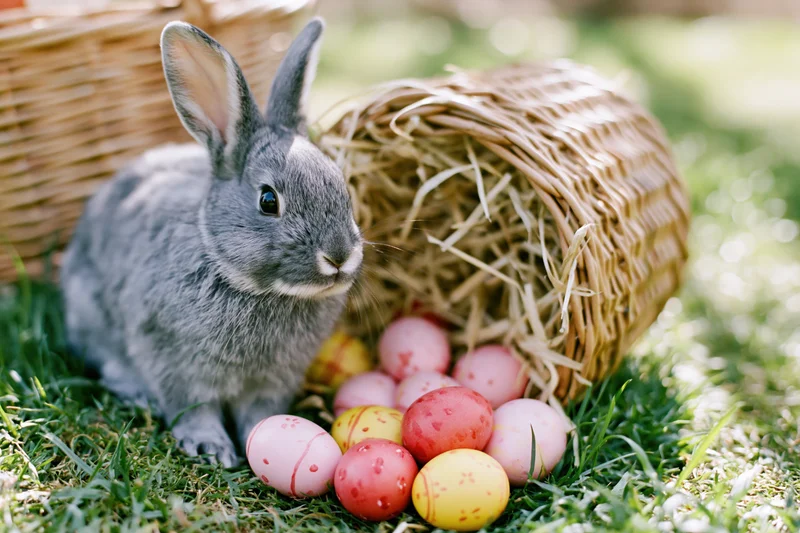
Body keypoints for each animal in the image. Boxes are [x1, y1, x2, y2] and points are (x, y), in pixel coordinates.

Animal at [60, 17, 363, 467]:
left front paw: (262, 438)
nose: (339, 255)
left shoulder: (274, 381)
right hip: (89, 313)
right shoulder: (175, 362)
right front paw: (210, 448)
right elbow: (193, 407)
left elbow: (261, 414)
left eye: (342, 187)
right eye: (268, 200)